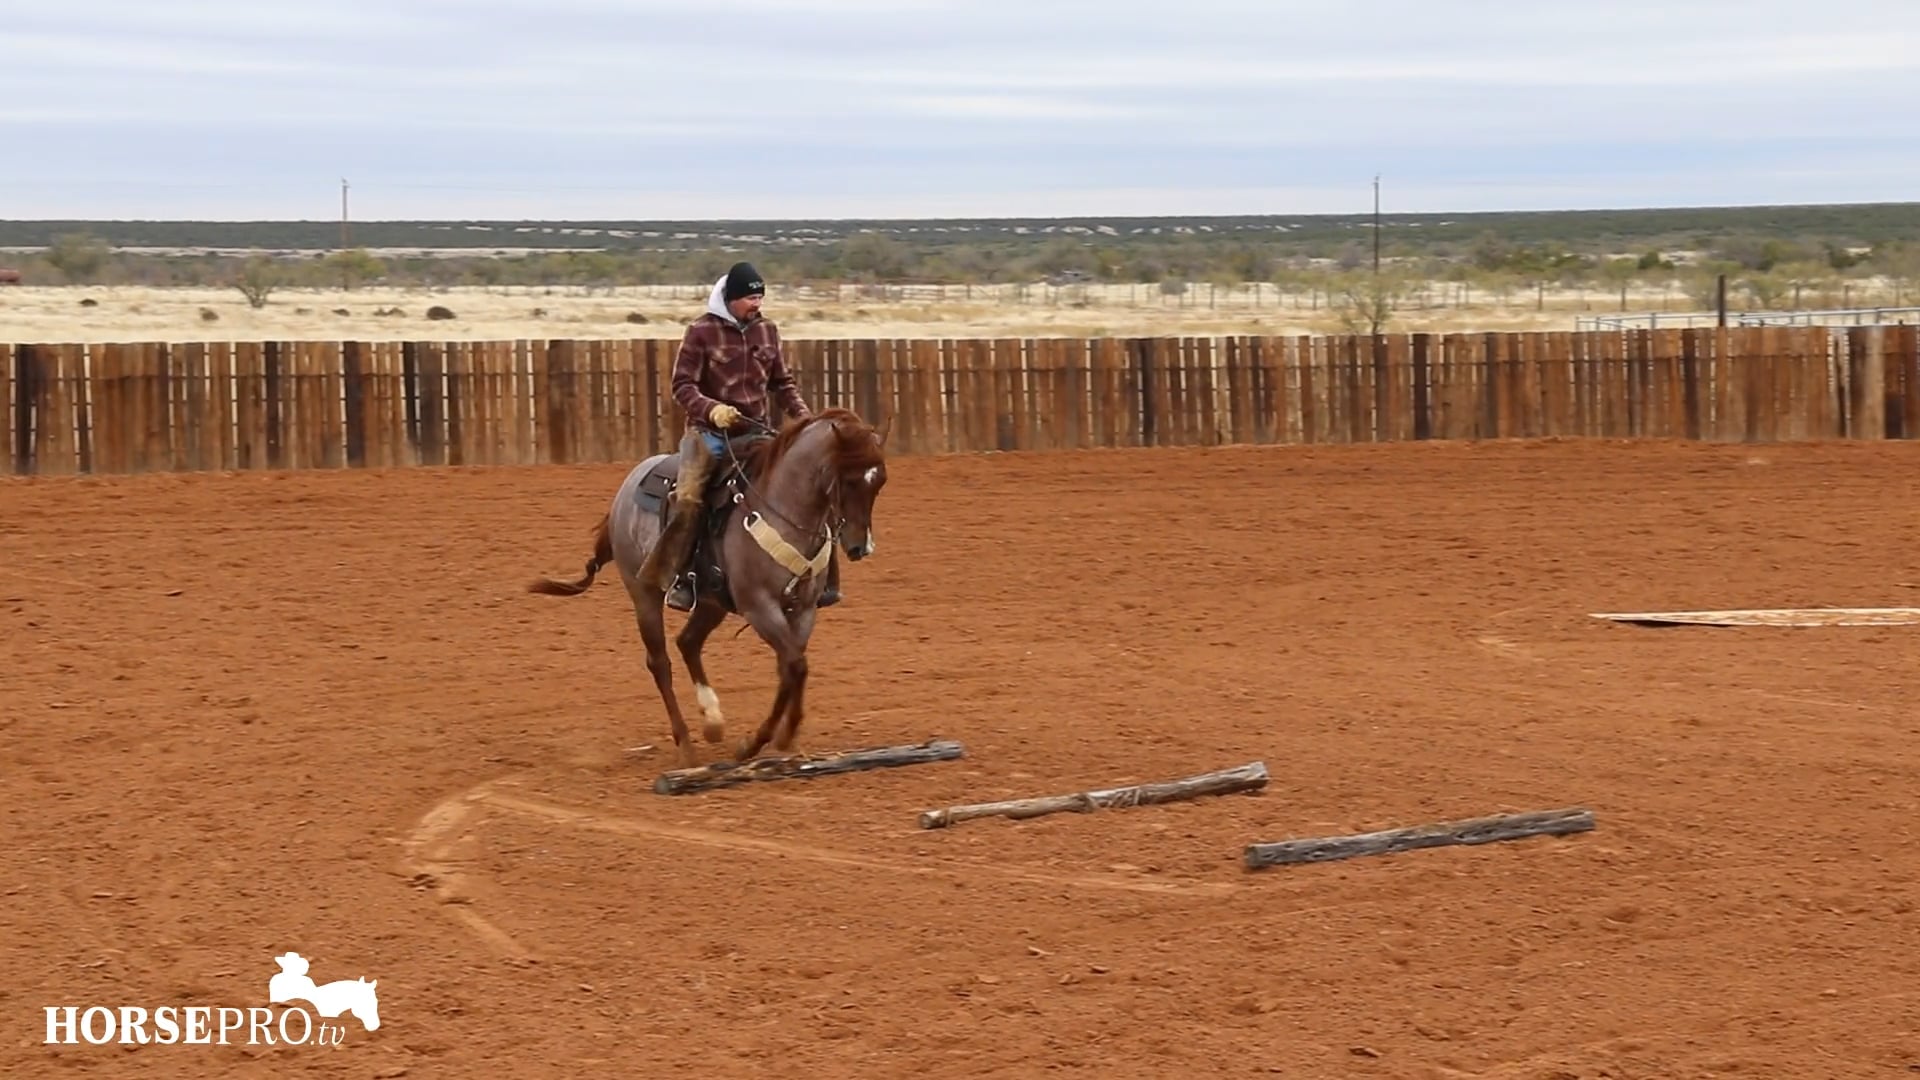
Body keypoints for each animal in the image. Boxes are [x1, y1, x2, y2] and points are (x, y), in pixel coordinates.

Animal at [527, 408, 889, 767]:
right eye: (849, 480)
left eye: (880, 481)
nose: (861, 547)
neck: (781, 510)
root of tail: (627, 487)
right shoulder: (759, 606)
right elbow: (795, 666)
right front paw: (760, 742)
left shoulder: (803, 610)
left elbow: (791, 667)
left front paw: (778, 736)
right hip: (644, 593)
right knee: (659, 662)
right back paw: (686, 745)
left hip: (711, 603)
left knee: (688, 642)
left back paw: (713, 721)